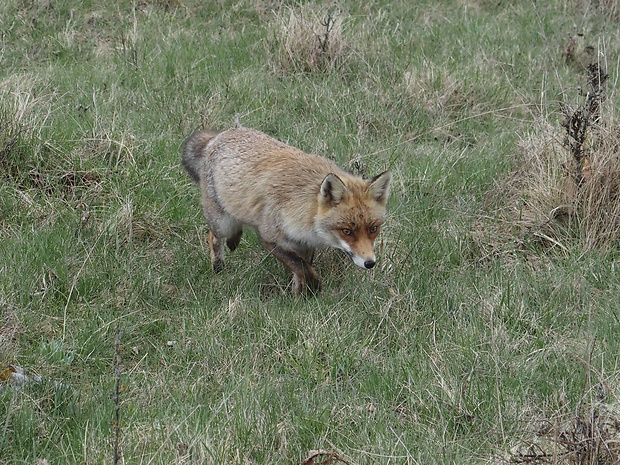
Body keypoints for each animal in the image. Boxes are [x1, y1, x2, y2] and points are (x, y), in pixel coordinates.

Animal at [180, 126, 392, 294]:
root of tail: (223, 133)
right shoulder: (270, 238)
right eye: (346, 231)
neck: (304, 212)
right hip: (223, 223)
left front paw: (299, 298)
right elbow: (302, 268)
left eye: (373, 229)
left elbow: (301, 270)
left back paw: (235, 240)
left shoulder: (305, 244)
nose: (370, 263)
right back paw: (218, 265)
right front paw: (314, 287)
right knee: (213, 236)